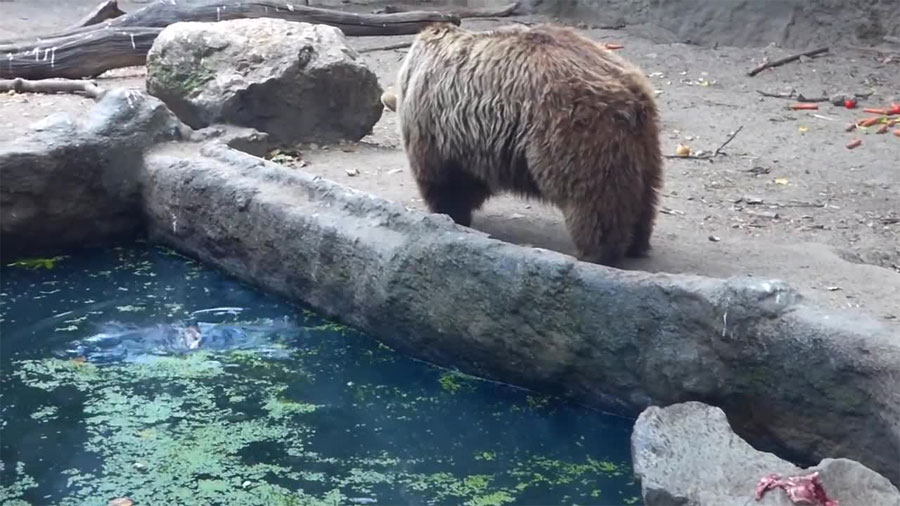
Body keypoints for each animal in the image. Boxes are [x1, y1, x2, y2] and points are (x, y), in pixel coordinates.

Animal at [394, 21, 660, 266]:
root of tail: (629, 91)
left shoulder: (434, 126)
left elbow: (443, 180)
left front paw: (450, 215)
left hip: (573, 130)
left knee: (593, 199)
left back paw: (595, 253)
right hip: (643, 143)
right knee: (644, 195)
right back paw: (636, 243)